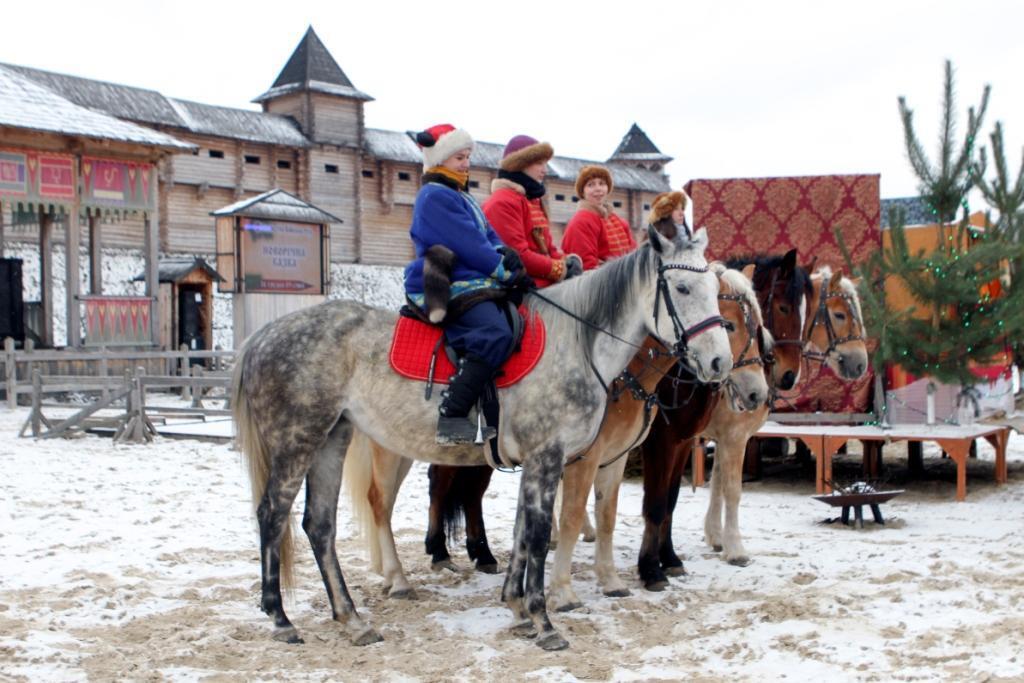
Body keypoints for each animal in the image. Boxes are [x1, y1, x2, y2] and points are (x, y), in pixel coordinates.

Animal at [234, 225, 729, 651]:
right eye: (682, 289)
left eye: (714, 290)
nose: (720, 363)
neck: (576, 342)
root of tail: (263, 335)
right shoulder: (549, 458)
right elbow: (539, 534)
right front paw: (544, 621)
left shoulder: (537, 462)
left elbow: (523, 533)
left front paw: (517, 608)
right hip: (298, 441)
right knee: (273, 515)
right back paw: (281, 617)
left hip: (330, 441)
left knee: (319, 525)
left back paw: (351, 619)